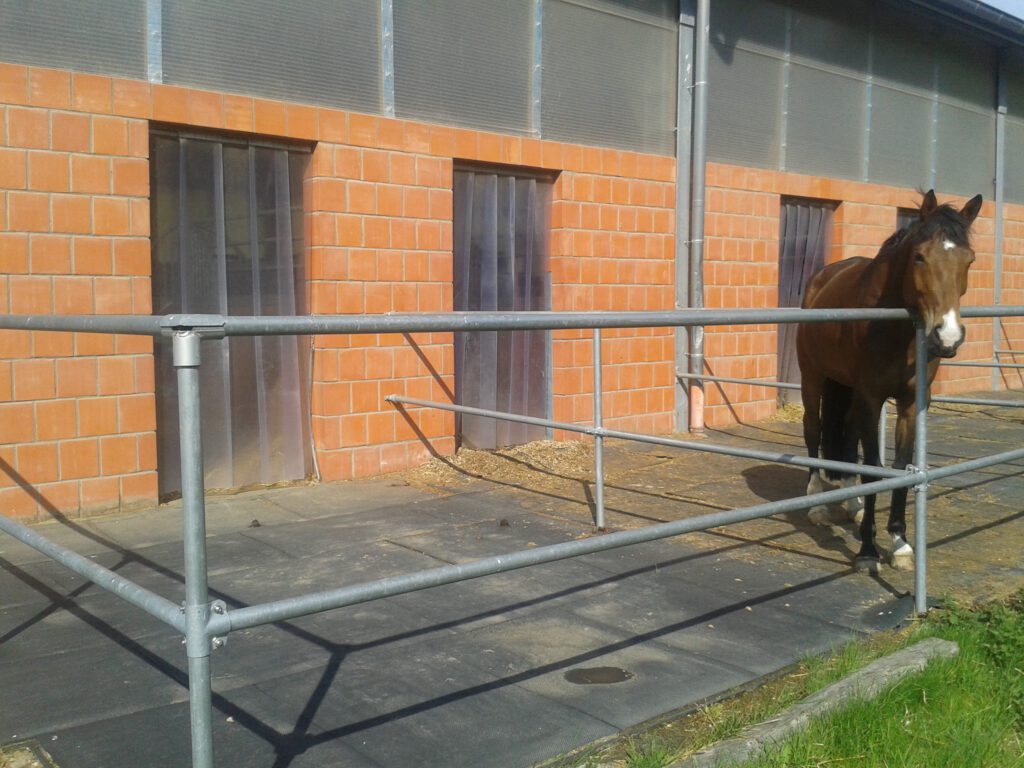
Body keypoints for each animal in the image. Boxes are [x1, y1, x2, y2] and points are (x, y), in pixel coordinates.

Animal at [796, 190, 983, 572]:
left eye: (969, 260)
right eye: (920, 257)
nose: (948, 336)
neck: (893, 329)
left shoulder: (911, 402)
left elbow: (899, 469)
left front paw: (899, 543)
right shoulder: (871, 397)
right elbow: (872, 470)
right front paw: (867, 551)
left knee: (847, 434)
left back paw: (853, 506)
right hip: (813, 377)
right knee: (813, 430)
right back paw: (817, 505)